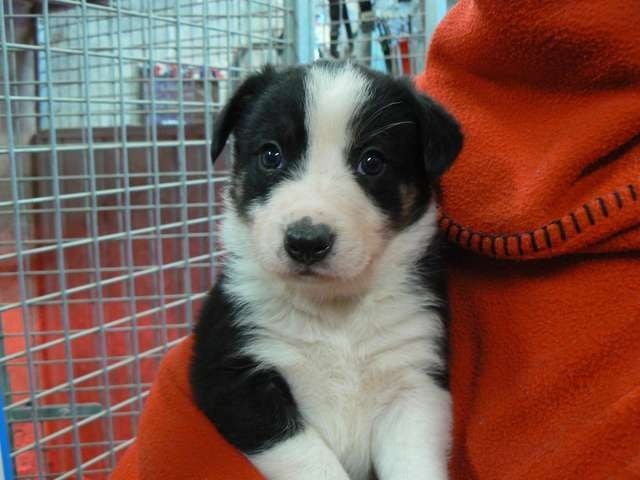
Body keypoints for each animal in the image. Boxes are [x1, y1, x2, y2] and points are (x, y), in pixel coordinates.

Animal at [189, 61, 460, 480]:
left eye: (372, 162)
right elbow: (312, 462)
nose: (306, 242)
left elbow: (414, 463)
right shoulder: (234, 377)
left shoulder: (415, 382)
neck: (334, 310)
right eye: (271, 155)